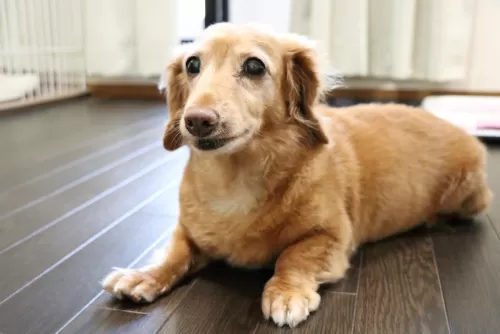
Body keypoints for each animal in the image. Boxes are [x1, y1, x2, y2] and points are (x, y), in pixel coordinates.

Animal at [101, 22, 492, 328]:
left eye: (255, 66)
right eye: (192, 64)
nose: (197, 121)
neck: (235, 179)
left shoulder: (332, 237)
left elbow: (293, 256)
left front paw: (286, 294)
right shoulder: (188, 230)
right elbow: (175, 253)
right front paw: (144, 276)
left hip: (468, 196)